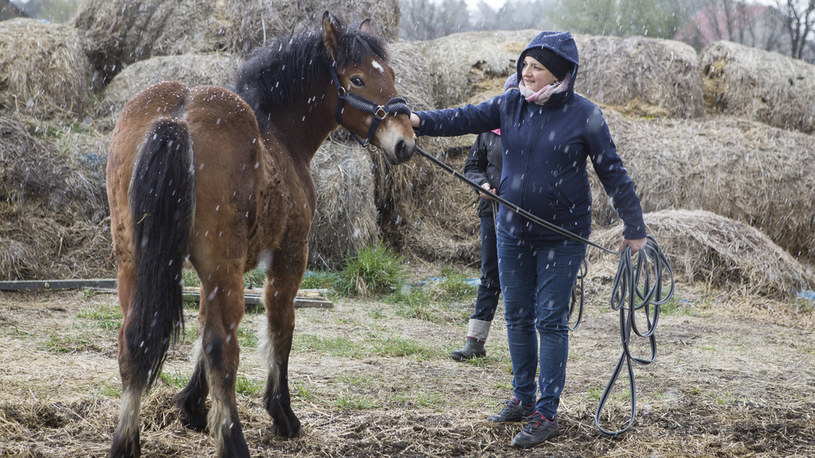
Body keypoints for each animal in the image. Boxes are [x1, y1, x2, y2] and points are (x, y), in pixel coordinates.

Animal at [104, 12, 414, 456]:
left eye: (388, 73)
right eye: (357, 79)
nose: (405, 141)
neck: (277, 136)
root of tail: (178, 116)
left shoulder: (210, 274)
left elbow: (202, 326)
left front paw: (192, 406)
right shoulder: (288, 256)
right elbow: (280, 328)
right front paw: (282, 413)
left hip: (136, 262)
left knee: (135, 340)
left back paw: (125, 442)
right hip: (223, 265)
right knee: (222, 349)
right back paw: (234, 441)